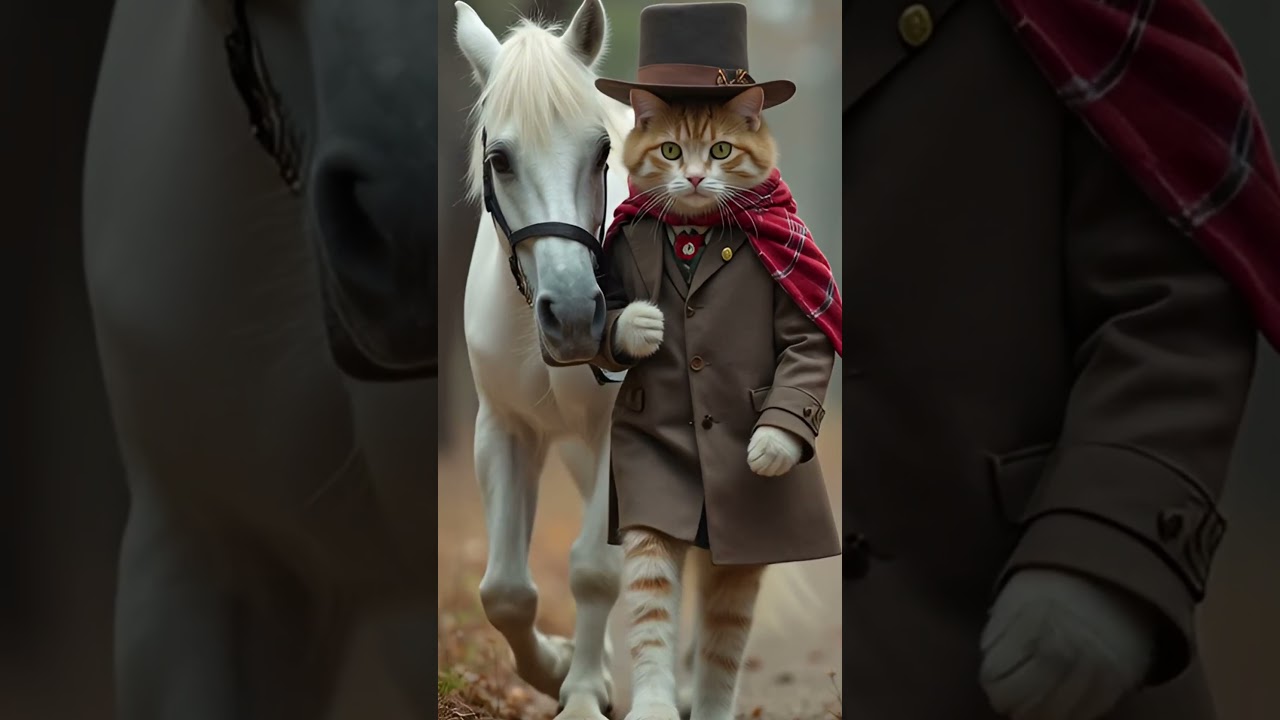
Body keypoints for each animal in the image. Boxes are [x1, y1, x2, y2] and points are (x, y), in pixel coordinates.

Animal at [454, 3, 820, 719]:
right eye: (500, 158)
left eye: (601, 151)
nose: (574, 317)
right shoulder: (504, 429)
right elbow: (505, 591)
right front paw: (559, 668)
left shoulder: (612, 435)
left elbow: (596, 571)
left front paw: (580, 693)